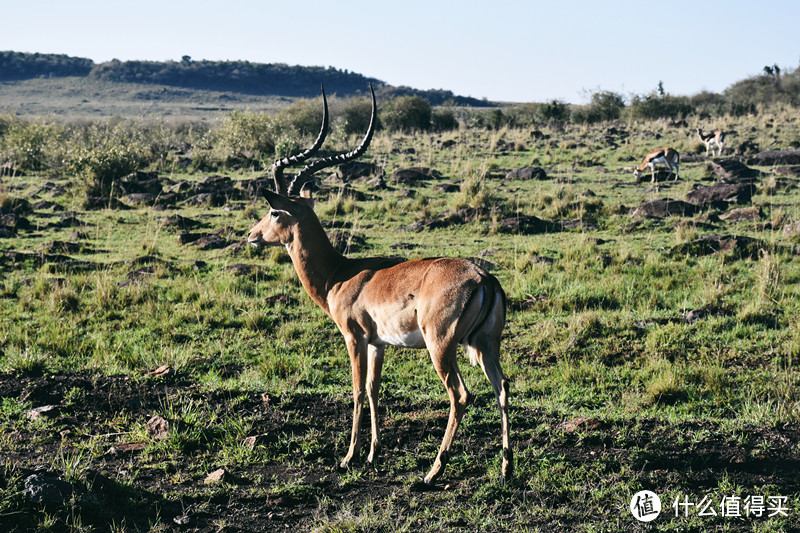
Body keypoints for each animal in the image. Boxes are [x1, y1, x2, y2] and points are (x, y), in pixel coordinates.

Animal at [247, 85, 516, 484]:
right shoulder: (378, 343)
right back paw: (506, 468)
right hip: (484, 345)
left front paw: (348, 457)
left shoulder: (353, 337)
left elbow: (358, 391)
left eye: (274, 211)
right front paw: (373, 454)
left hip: (442, 347)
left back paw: (433, 471)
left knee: (461, 395)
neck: (339, 275)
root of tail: (483, 277)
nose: (251, 236)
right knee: (503, 388)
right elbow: (375, 391)